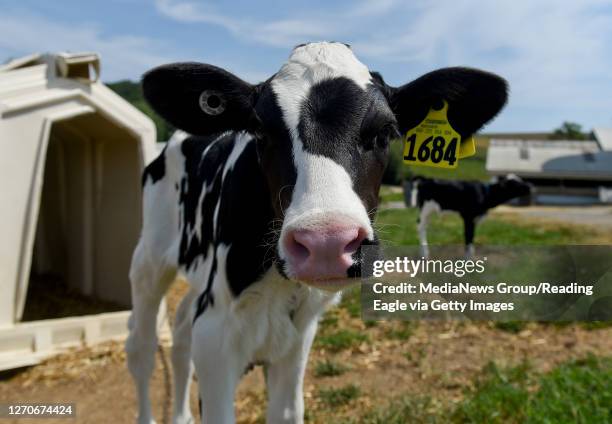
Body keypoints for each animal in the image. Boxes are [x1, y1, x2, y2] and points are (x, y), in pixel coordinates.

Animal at [124, 40, 506, 424]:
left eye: (385, 132)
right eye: (261, 131)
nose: (326, 242)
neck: (278, 286)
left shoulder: (298, 335)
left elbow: (288, 411)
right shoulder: (216, 333)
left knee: (180, 332)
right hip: (149, 259)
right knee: (143, 350)